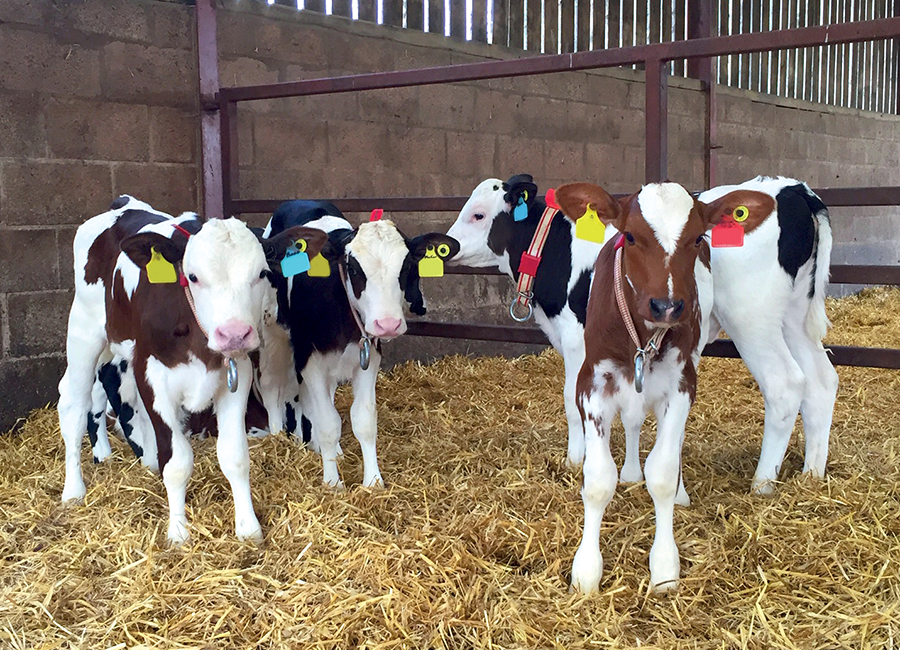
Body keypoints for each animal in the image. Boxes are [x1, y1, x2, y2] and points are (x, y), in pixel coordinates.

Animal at [58, 195, 325, 545]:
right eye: (193, 276)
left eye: (262, 273)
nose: (234, 333)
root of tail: (124, 203)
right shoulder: (151, 376)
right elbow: (177, 462)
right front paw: (178, 532)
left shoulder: (237, 374)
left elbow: (235, 456)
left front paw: (248, 528)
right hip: (84, 330)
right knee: (74, 404)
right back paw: (74, 490)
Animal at [258, 200, 460, 489]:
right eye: (354, 269)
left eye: (407, 266)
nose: (388, 324)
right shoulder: (310, 360)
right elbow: (328, 424)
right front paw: (332, 483)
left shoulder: (368, 357)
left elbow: (363, 421)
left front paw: (373, 481)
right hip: (272, 335)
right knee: (272, 385)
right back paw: (280, 437)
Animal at [554, 181, 776, 592]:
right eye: (630, 236)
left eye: (697, 238)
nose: (668, 306)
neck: (641, 339)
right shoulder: (591, 384)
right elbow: (598, 479)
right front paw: (587, 571)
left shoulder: (681, 384)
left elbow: (662, 472)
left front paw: (664, 566)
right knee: (632, 422)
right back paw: (630, 473)